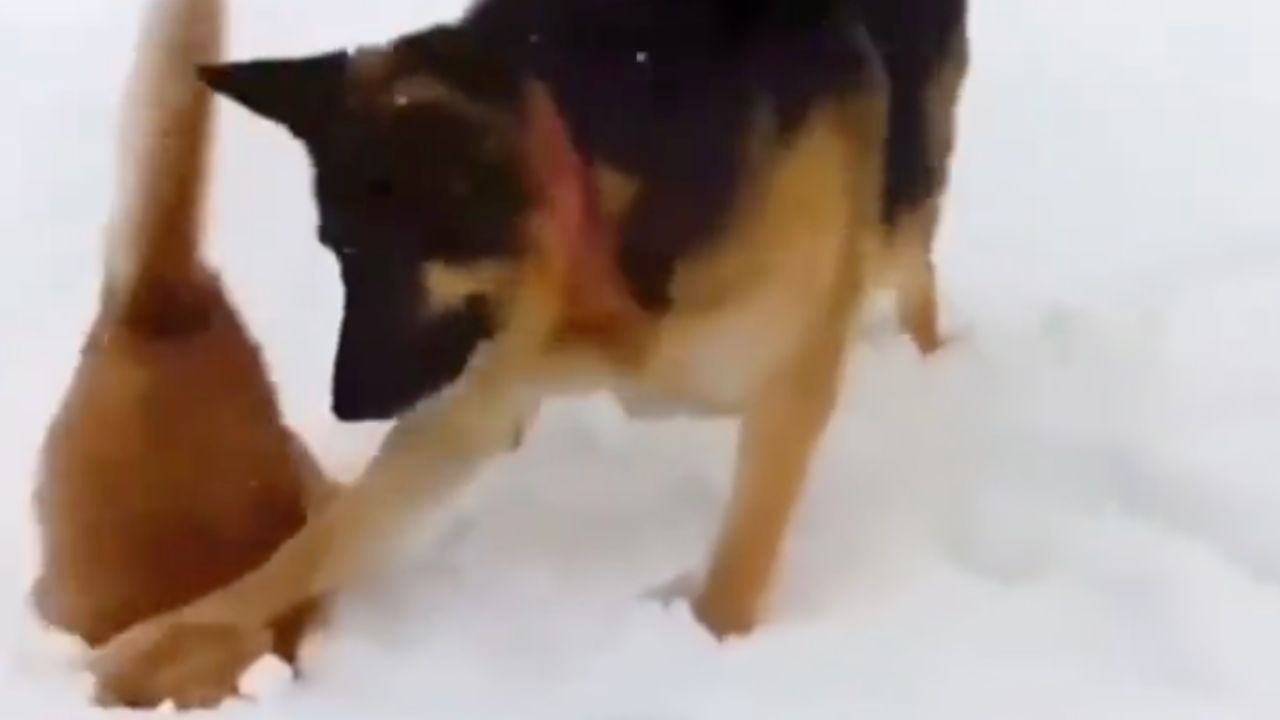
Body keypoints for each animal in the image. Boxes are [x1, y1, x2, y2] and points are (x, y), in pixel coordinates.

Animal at [90, 0, 962, 707]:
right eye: (336, 248)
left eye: (383, 254)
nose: (346, 403)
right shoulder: (475, 399)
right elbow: (315, 543)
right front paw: (161, 640)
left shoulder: (787, 387)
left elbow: (738, 570)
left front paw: (711, 658)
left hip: (900, 208)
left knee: (916, 268)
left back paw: (936, 362)